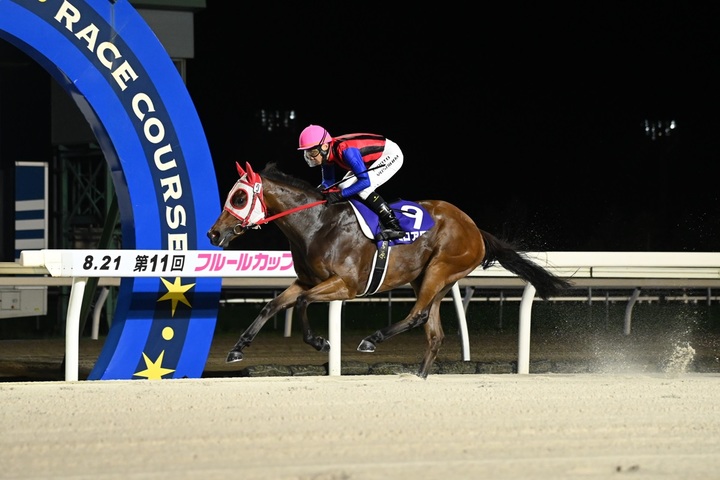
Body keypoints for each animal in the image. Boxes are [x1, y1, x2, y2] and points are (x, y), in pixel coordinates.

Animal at [207, 161, 572, 378]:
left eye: (239, 198)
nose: (214, 234)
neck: (317, 224)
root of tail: (475, 228)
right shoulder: (307, 280)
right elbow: (272, 305)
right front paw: (237, 349)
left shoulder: (345, 285)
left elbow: (301, 303)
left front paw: (321, 343)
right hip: (430, 279)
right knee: (434, 332)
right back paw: (418, 377)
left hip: (440, 269)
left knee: (418, 316)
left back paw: (372, 340)